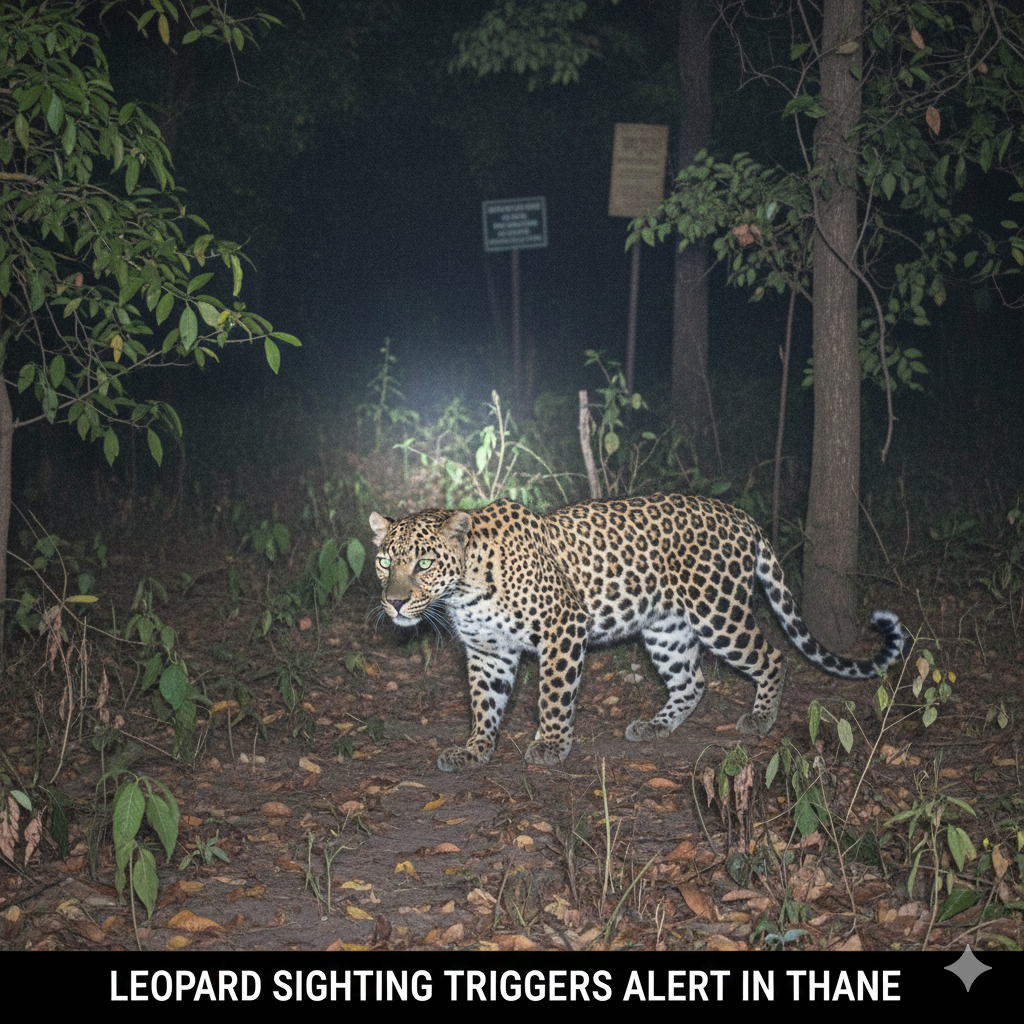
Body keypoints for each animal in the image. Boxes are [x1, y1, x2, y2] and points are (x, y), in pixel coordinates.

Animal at [369, 493, 910, 771]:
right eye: (384, 562)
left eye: (423, 564)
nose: (393, 602)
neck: (463, 589)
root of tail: (742, 516)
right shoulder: (488, 652)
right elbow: (484, 703)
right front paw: (475, 749)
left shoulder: (563, 629)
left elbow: (552, 695)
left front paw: (551, 745)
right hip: (665, 627)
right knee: (692, 679)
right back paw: (655, 726)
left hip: (718, 612)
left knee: (772, 657)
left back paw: (760, 718)